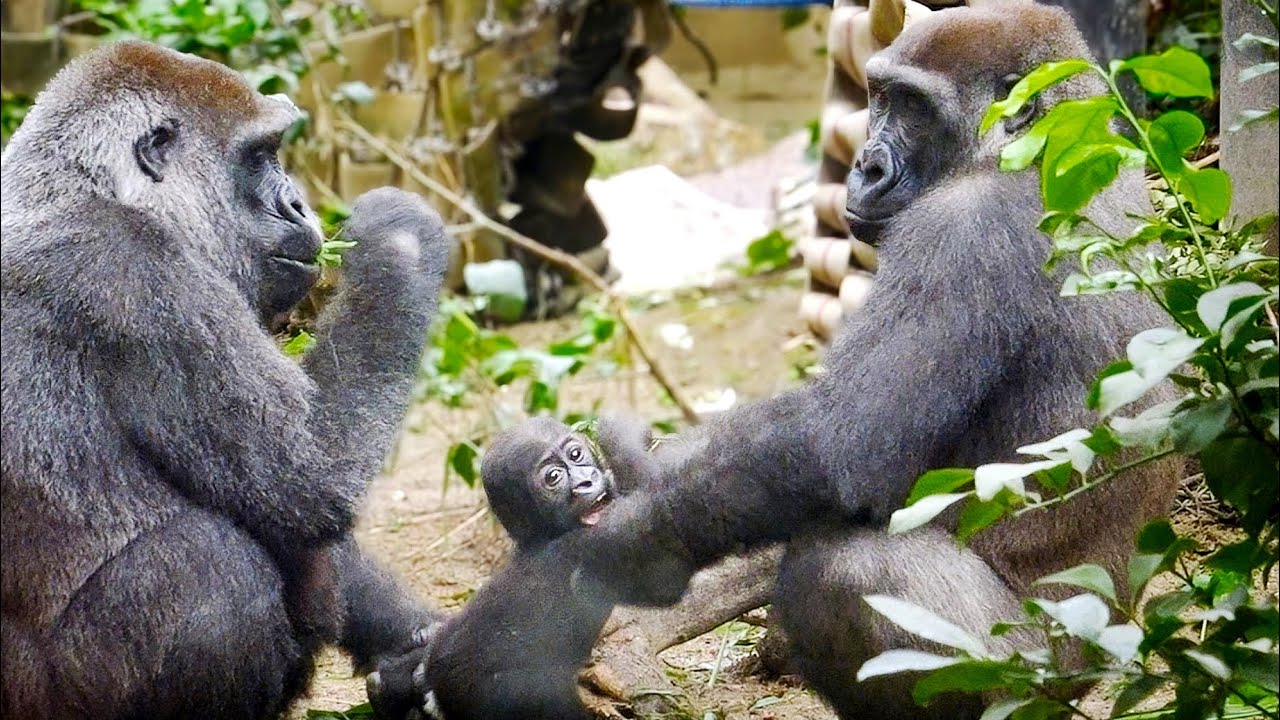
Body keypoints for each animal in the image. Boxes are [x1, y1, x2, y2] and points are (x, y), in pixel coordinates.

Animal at [1, 40, 449, 719]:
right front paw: (399, 234)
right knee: (208, 567)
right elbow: (312, 478)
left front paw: (418, 648)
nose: (297, 203)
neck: (78, 183)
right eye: (260, 155)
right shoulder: (135, 268)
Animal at [519, 5, 1178, 719]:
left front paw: (634, 537)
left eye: (915, 107)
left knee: (842, 564)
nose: (865, 165)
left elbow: (840, 446)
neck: (1043, 142)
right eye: (880, 96)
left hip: (1031, 676)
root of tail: (1108, 654)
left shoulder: (961, 228)